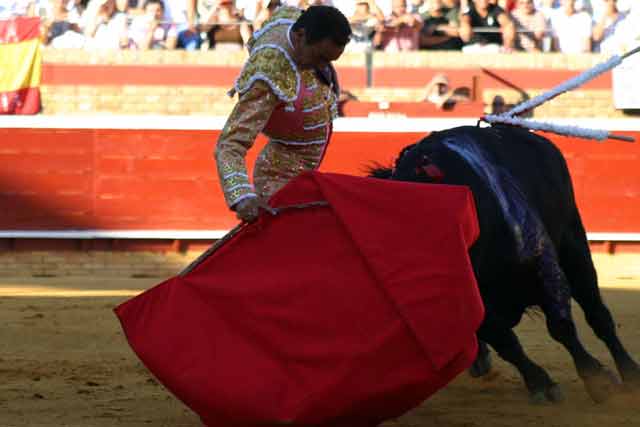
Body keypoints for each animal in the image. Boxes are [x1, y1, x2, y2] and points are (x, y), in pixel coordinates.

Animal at [370, 124, 640, 404]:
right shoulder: (472, 302)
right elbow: (503, 338)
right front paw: (540, 384)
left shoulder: (539, 265)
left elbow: (560, 326)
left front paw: (597, 379)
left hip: (573, 243)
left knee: (598, 313)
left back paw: (630, 373)